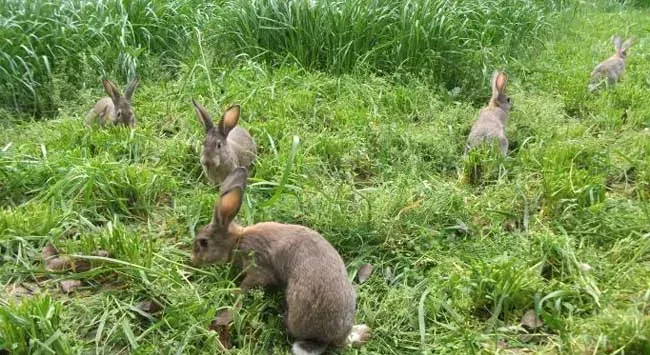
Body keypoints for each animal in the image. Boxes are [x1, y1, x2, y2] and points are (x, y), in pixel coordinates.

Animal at [191, 168, 370, 355]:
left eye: (203, 242)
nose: (193, 259)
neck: (237, 241)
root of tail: (331, 339)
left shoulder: (257, 267)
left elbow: (247, 284)